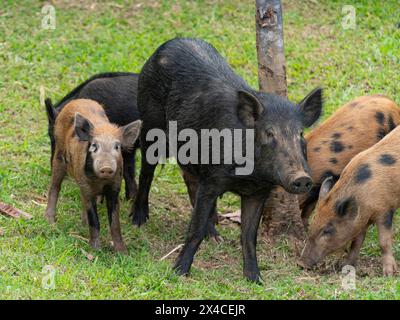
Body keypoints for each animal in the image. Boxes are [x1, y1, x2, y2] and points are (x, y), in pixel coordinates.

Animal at [133, 38, 324, 282]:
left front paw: (255, 279)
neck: (249, 176)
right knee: (147, 170)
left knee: (188, 179)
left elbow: (249, 236)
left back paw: (215, 237)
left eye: (300, 134)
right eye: (269, 133)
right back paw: (139, 220)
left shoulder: (258, 192)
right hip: (151, 123)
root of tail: (167, 44)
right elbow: (194, 229)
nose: (302, 178)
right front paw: (178, 273)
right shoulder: (212, 178)